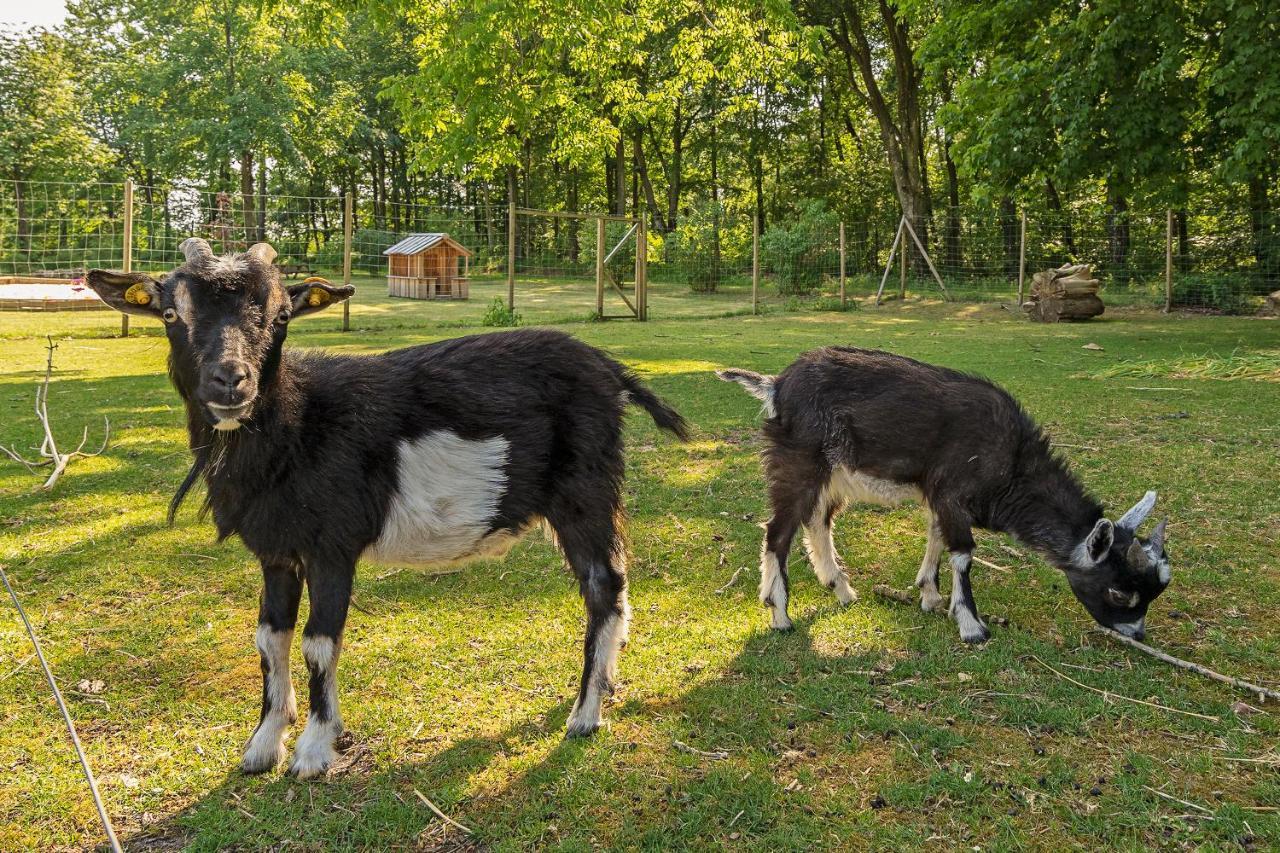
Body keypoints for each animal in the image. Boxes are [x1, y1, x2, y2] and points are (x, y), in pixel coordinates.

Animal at [87, 239, 691, 778]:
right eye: (170, 313)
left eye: (281, 316)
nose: (231, 381)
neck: (299, 424)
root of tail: (610, 369)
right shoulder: (277, 552)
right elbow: (270, 639)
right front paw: (261, 745)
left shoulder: (332, 546)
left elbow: (318, 643)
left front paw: (313, 751)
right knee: (614, 583)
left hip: (584, 493)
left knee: (602, 587)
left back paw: (585, 715)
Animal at [716, 345, 1172, 637]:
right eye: (1119, 591)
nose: (1136, 634)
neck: (1012, 462)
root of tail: (776, 385)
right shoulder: (953, 493)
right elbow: (963, 553)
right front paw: (970, 624)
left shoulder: (940, 496)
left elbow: (936, 537)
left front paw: (930, 596)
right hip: (798, 461)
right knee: (778, 531)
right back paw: (780, 615)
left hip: (832, 474)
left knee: (817, 521)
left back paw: (841, 590)